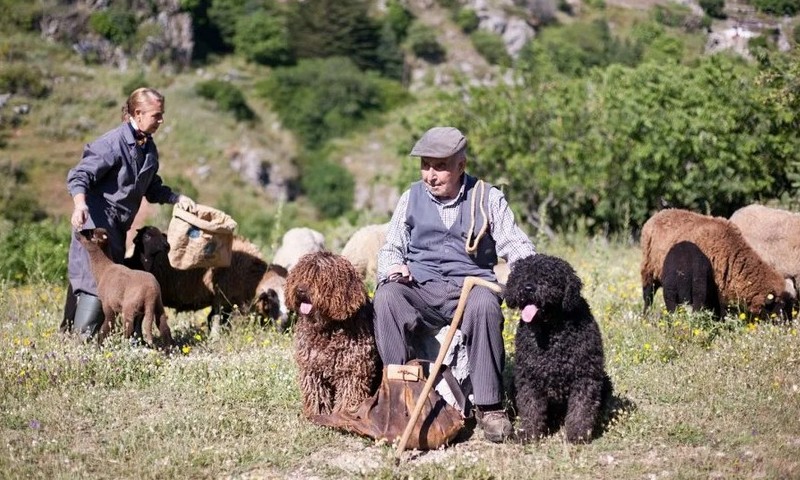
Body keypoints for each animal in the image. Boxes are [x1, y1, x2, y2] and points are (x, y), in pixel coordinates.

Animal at [123, 227, 290, 332]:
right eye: (271, 298)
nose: (284, 323)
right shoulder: (220, 298)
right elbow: (216, 320)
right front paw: (215, 338)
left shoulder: (227, 301)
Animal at [286, 249, 382, 418]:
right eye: (300, 273)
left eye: (320, 276)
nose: (300, 290)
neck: (327, 329)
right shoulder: (312, 368)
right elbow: (316, 394)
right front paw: (318, 415)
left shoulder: (352, 370)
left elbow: (347, 395)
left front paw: (342, 415)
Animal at [506, 253, 612, 444]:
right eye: (522, 275)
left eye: (548, 276)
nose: (528, 288)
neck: (550, 330)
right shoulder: (529, 378)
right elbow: (530, 407)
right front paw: (529, 433)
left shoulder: (585, 376)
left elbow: (581, 408)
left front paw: (578, 434)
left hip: (604, 381)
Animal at [636, 208, 792, 320]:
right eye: (778, 305)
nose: (785, 325)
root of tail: (657, 215)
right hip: (648, 270)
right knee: (648, 296)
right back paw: (646, 317)